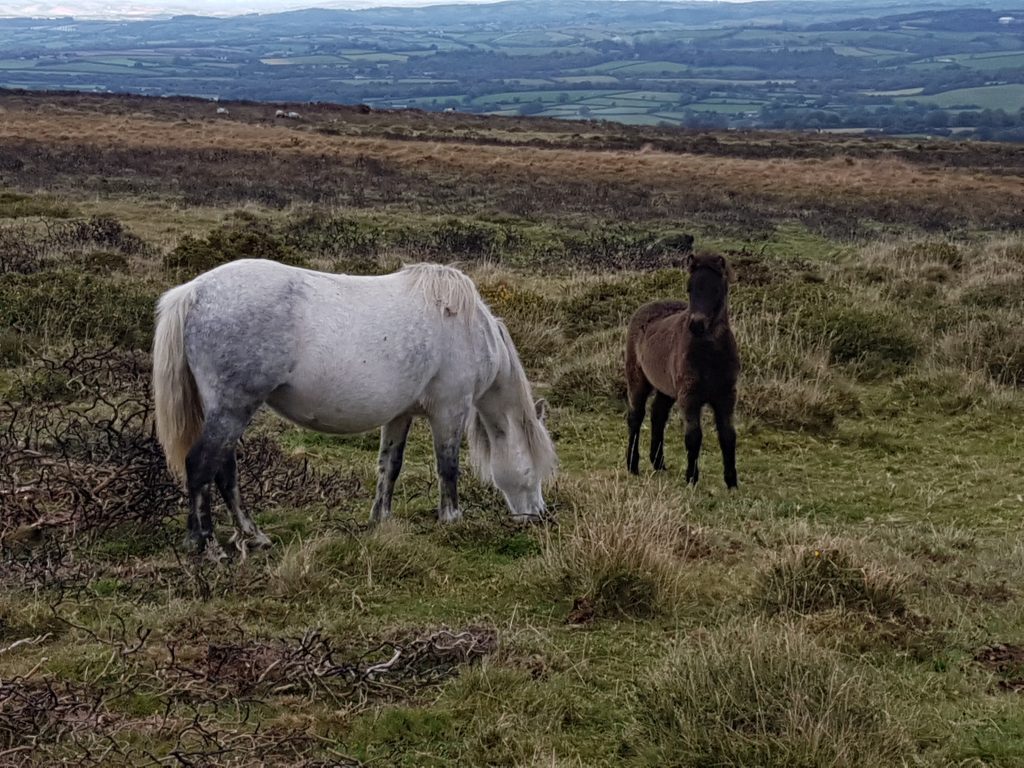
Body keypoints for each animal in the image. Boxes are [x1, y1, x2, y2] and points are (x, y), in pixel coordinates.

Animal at [152, 259, 557, 561]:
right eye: (532, 468)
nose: (537, 515)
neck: (466, 324)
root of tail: (193, 292)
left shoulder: (400, 415)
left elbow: (389, 466)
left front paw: (380, 519)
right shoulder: (449, 410)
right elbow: (448, 467)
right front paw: (452, 518)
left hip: (228, 412)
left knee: (224, 471)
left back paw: (252, 536)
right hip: (232, 409)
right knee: (202, 466)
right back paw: (207, 546)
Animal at [624, 251, 740, 488]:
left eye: (717, 289)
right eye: (689, 288)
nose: (696, 325)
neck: (710, 357)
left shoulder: (726, 396)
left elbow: (728, 435)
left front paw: (732, 482)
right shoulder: (689, 396)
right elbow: (694, 437)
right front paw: (691, 479)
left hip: (666, 389)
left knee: (658, 415)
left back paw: (658, 462)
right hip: (638, 379)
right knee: (636, 417)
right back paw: (632, 465)